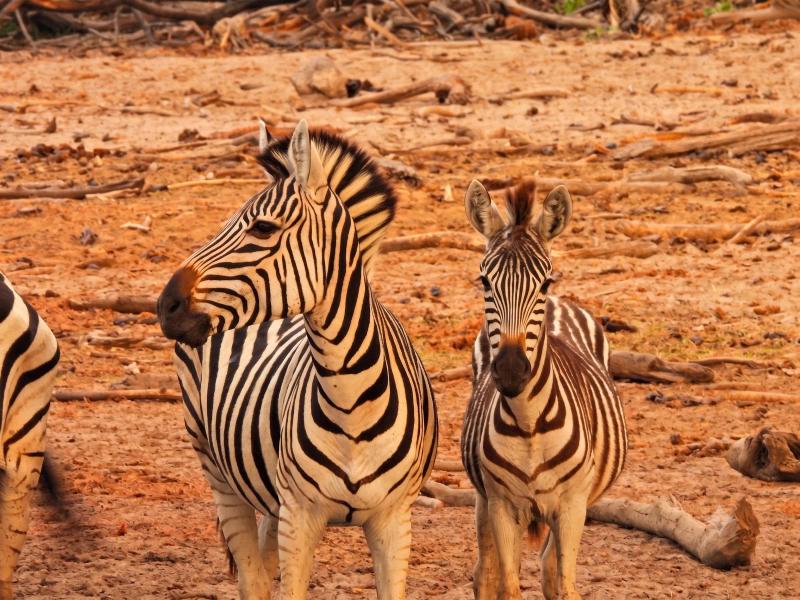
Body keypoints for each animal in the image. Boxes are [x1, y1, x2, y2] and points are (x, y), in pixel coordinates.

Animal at [157, 120, 437, 600]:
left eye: (263, 228)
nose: (165, 305)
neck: (349, 398)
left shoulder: (394, 519)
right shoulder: (300, 517)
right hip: (214, 465)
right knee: (252, 576)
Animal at [460, 180, 627, 600]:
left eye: (545, 281)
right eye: (484, 281)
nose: (510, 370)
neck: (529, 423)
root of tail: (559, 305)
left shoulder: (571, 507)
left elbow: (564, 584)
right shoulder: (502, 505)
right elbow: (507, 585)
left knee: (551, 571)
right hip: (483, 498)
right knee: (485, 573)